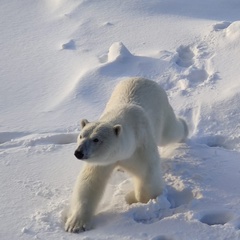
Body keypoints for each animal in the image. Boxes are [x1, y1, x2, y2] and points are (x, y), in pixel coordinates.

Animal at [64, 77, 188, 232]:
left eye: (96, 139)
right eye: (81, 136)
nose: (78, 152)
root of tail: (145, 78)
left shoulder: (140, 145)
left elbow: (147, 174)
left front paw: (141, 200)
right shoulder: (103, 161)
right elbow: (89, 182)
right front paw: (75, 224)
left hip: (162, 111)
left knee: (170, 132)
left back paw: (185, 129)